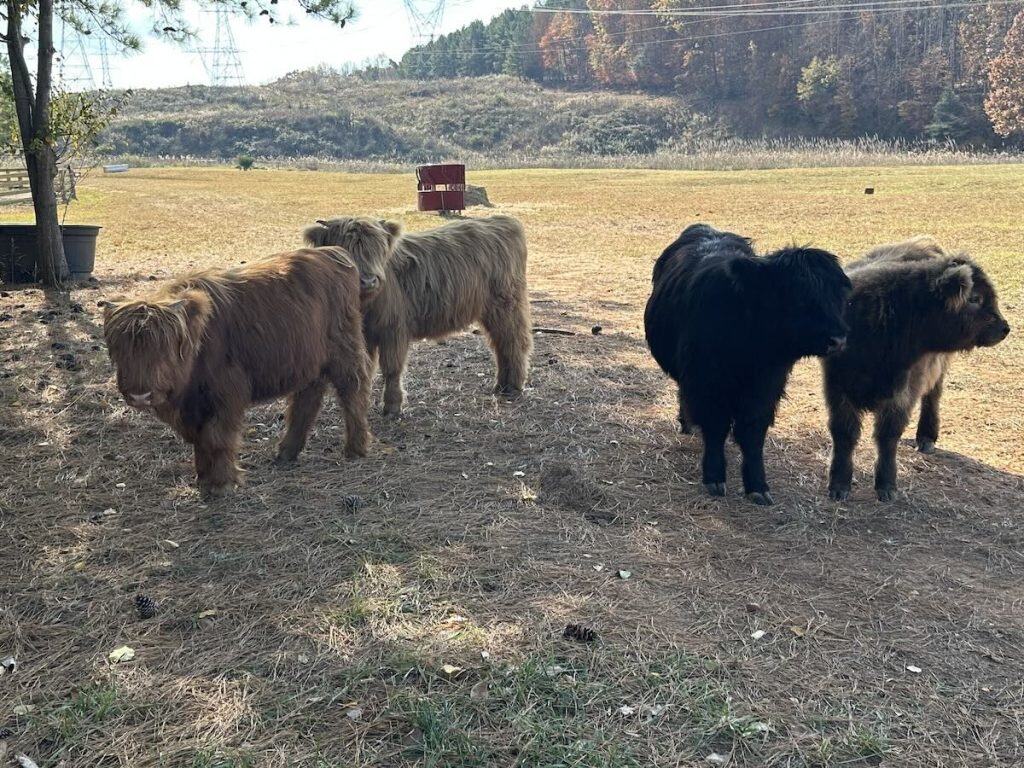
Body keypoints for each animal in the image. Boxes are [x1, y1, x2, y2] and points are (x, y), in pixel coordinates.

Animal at [103, 247, 372, 497]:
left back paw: (355, 449)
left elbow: (216, 437)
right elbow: (200, 439)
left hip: (345, 351)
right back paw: (287, 452)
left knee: (353, 390)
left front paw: (221, 484)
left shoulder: (226, 393)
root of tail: (333, 252)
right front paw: (203, 479)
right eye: (118, 349)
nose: (139, 395)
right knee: (307, 398)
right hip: (308, 361)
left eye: (164, 349)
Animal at [304, 215, 532, 416]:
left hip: (506, 306)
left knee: (513, 342)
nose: (368, 280)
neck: (366, 305)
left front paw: (392, 407)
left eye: (379, 248)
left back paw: (513, 387)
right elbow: (365, 371)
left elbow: (392, 369)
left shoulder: (394, 329)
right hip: (492, 312)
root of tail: (503, 221)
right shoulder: (364, 336)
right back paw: (501, 385)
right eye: (345, 249)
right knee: (500, 344)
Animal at [644, 224, 851, 505]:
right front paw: (714, 476)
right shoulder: (706, 382)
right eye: (797, 294)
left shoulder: (766, 387)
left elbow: (752, 433)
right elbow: (715, 427)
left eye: (838, 295)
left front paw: (757, 485)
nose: (838, 339)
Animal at [823, 236, 1010, 501]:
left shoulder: (905, 389)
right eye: (975, 298)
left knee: (933, 397)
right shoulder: (838, 384)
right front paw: (839, 484)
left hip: (937, 368)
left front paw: (886, 485)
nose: (1005, 328)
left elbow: (888, 435)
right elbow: (844, 432)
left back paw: (927, 436)